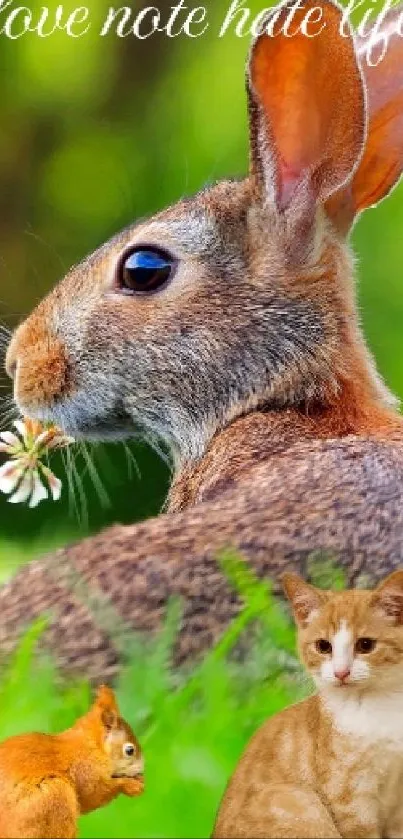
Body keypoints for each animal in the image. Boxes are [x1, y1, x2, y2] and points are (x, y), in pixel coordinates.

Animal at [0, 684, 144, 836]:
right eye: (130, 750)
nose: (141, 770)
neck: (90, 747)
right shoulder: (84, 771)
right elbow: (94, 794)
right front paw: (130, 785)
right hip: (54, 796)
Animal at [213, 572, 403, 839]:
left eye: (365, 645)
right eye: (323, 646)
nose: (341, 672)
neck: (382, 706)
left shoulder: (399, 803)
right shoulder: (350, 800)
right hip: (296, 798)